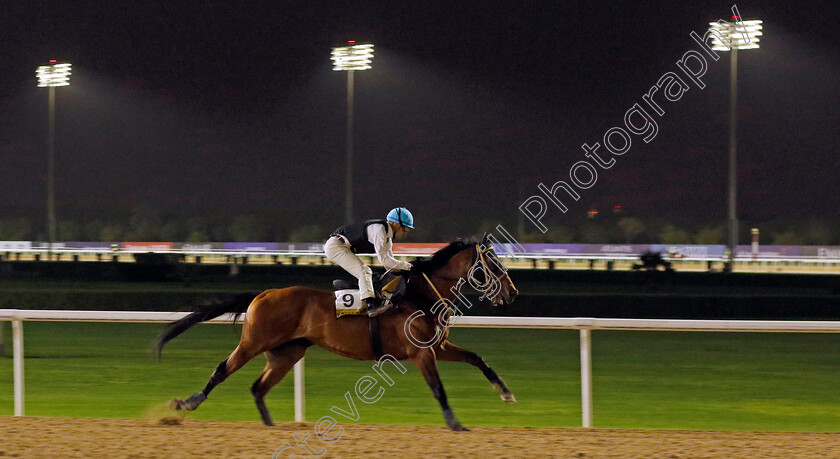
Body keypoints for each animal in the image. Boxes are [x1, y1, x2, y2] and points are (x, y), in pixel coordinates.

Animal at [154, 237, 516, 432]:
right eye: (494, 264)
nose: (511, 292)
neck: (419, 295)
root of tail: (263, 294)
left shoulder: (438, 346)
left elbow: (478, 358)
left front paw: (506, 393)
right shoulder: (421, 353)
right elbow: (438, 389)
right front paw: (456, 424)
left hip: (287, 352)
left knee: (258, 387)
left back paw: (270, 426)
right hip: (254, 342)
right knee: (222, 370)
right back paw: (187, 403)